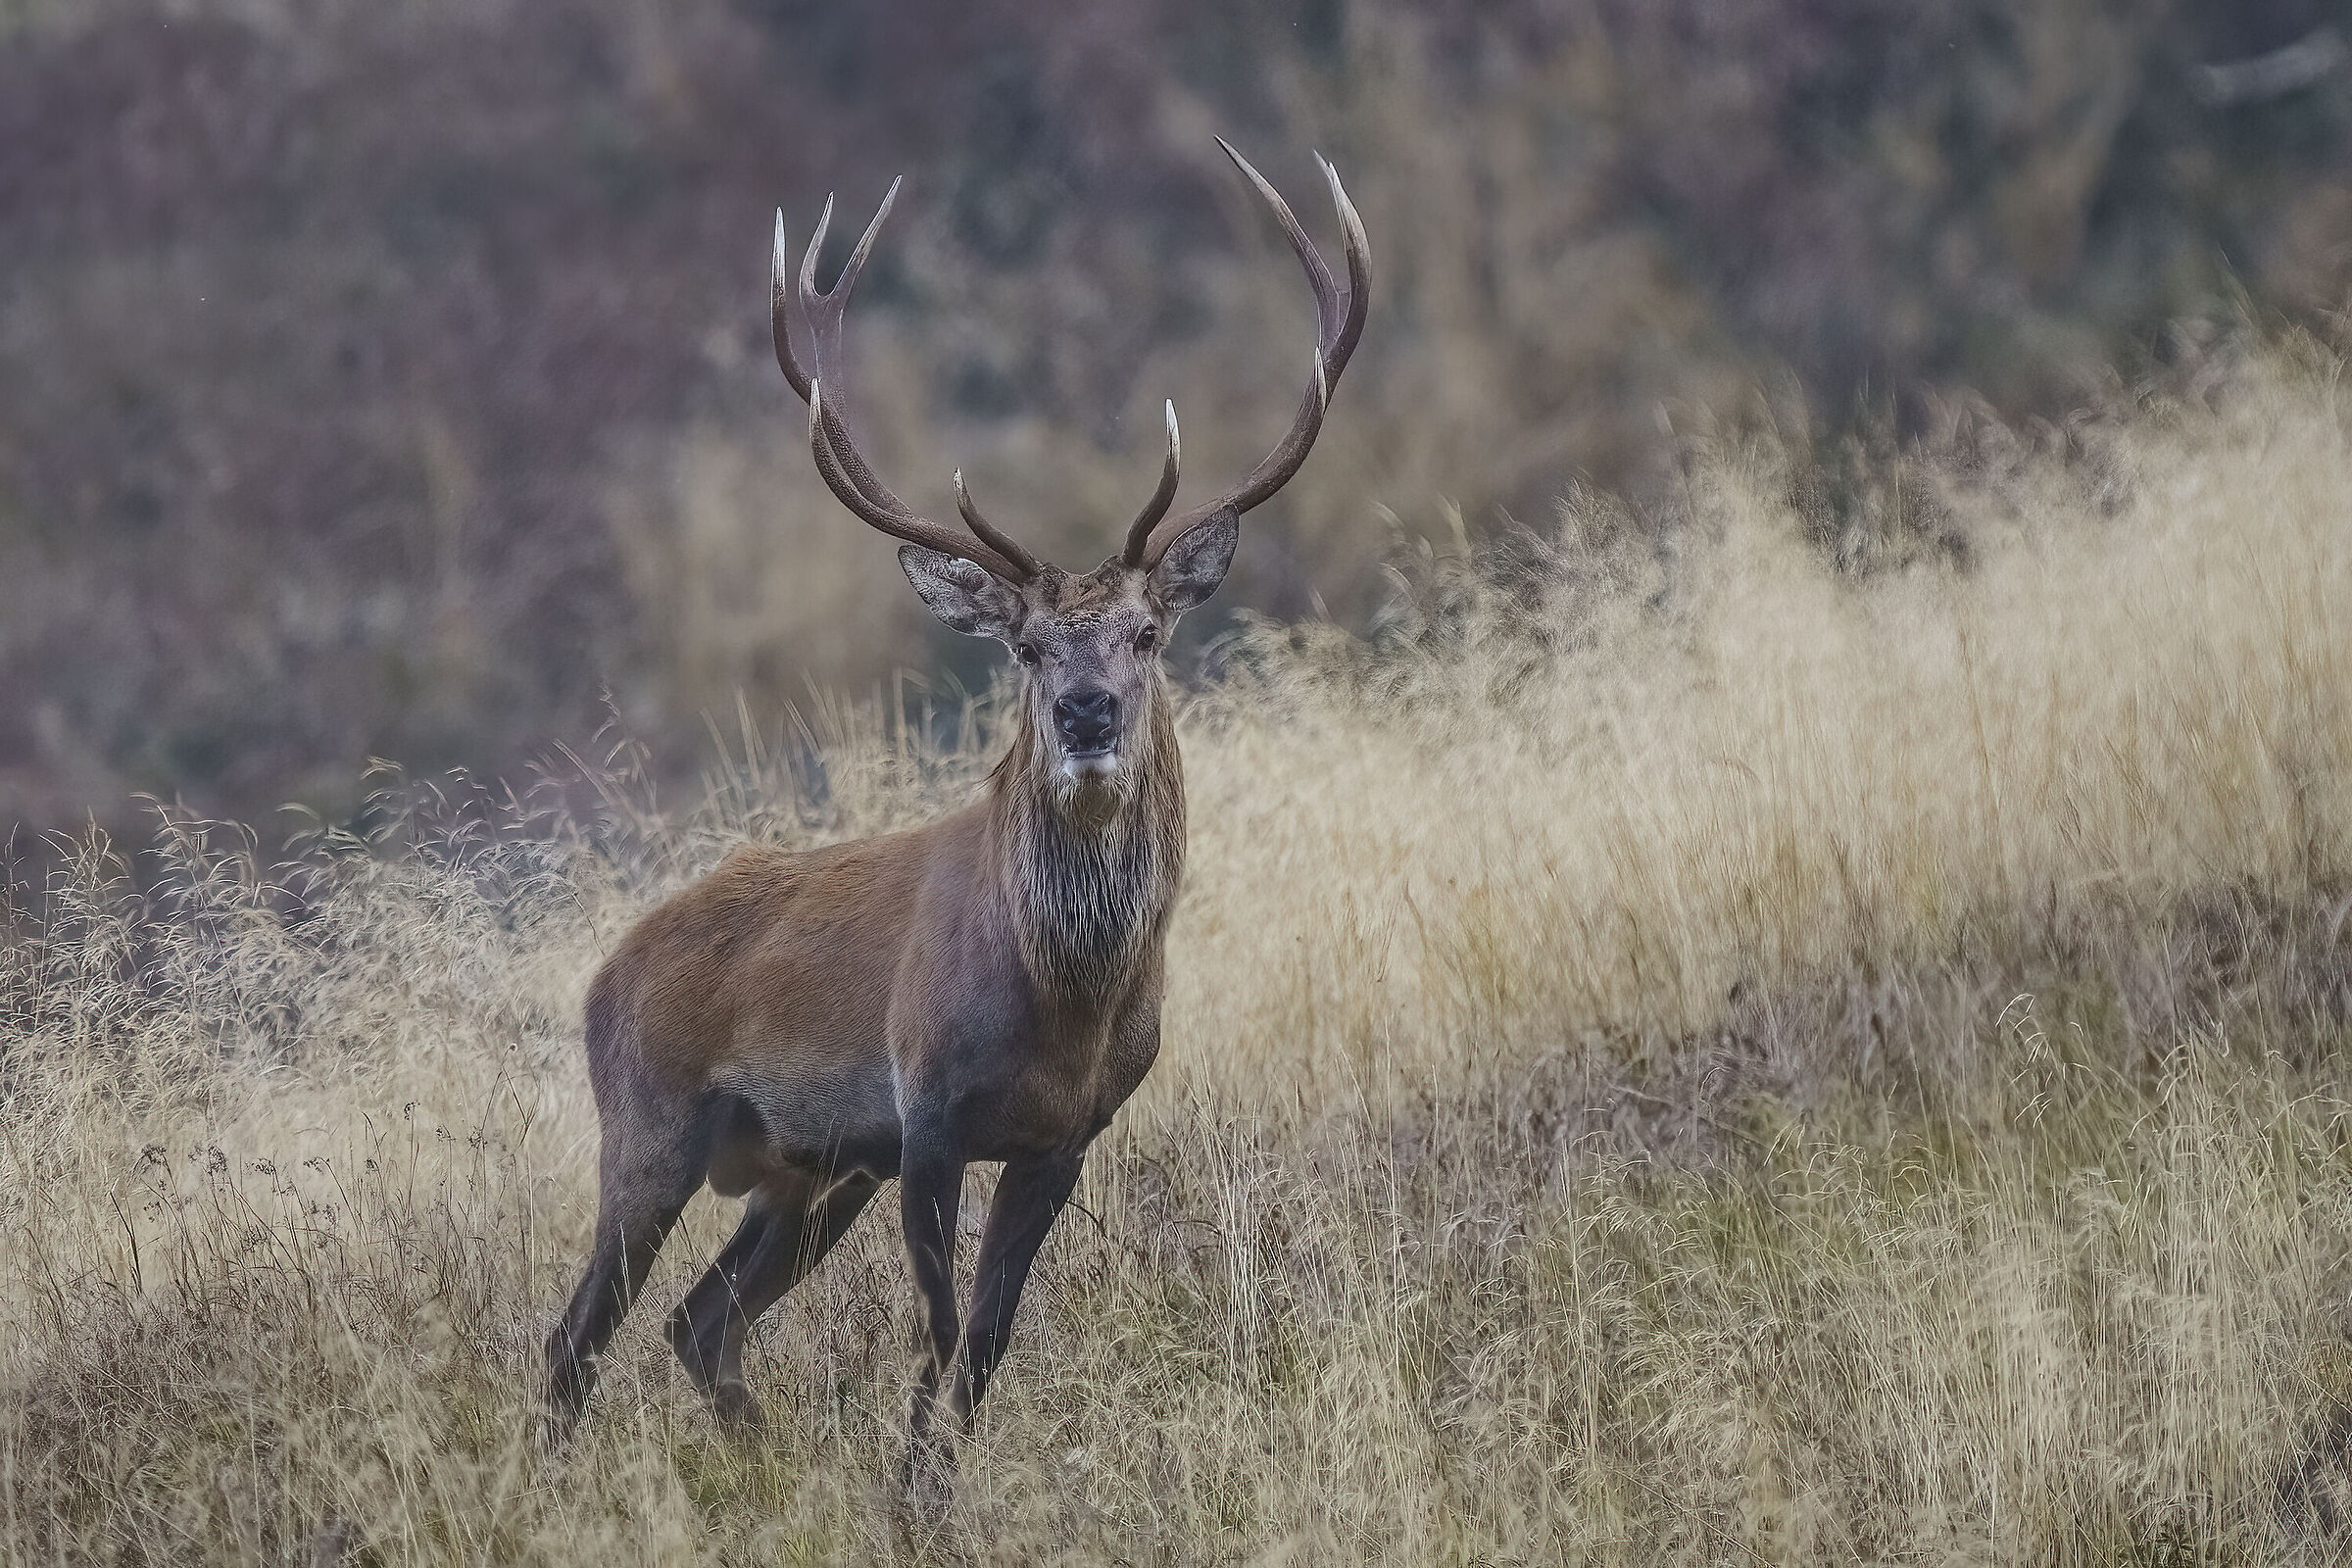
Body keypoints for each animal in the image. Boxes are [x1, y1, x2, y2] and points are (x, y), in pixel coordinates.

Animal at [542, 141, 1369, 1468]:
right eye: (1027, 647)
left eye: (1146, 633)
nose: (1087, 713)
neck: (1066, 1005)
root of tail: (603, 972)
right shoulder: (923, 1113)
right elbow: (938, 1332)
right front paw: (910, 1486)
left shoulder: (1063, 1138)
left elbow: (983, 1345)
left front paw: (928, 1480)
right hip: (652, 1127)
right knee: (576, 1335)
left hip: (806, 1171)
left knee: (699, 1319)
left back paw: (759, 1468)